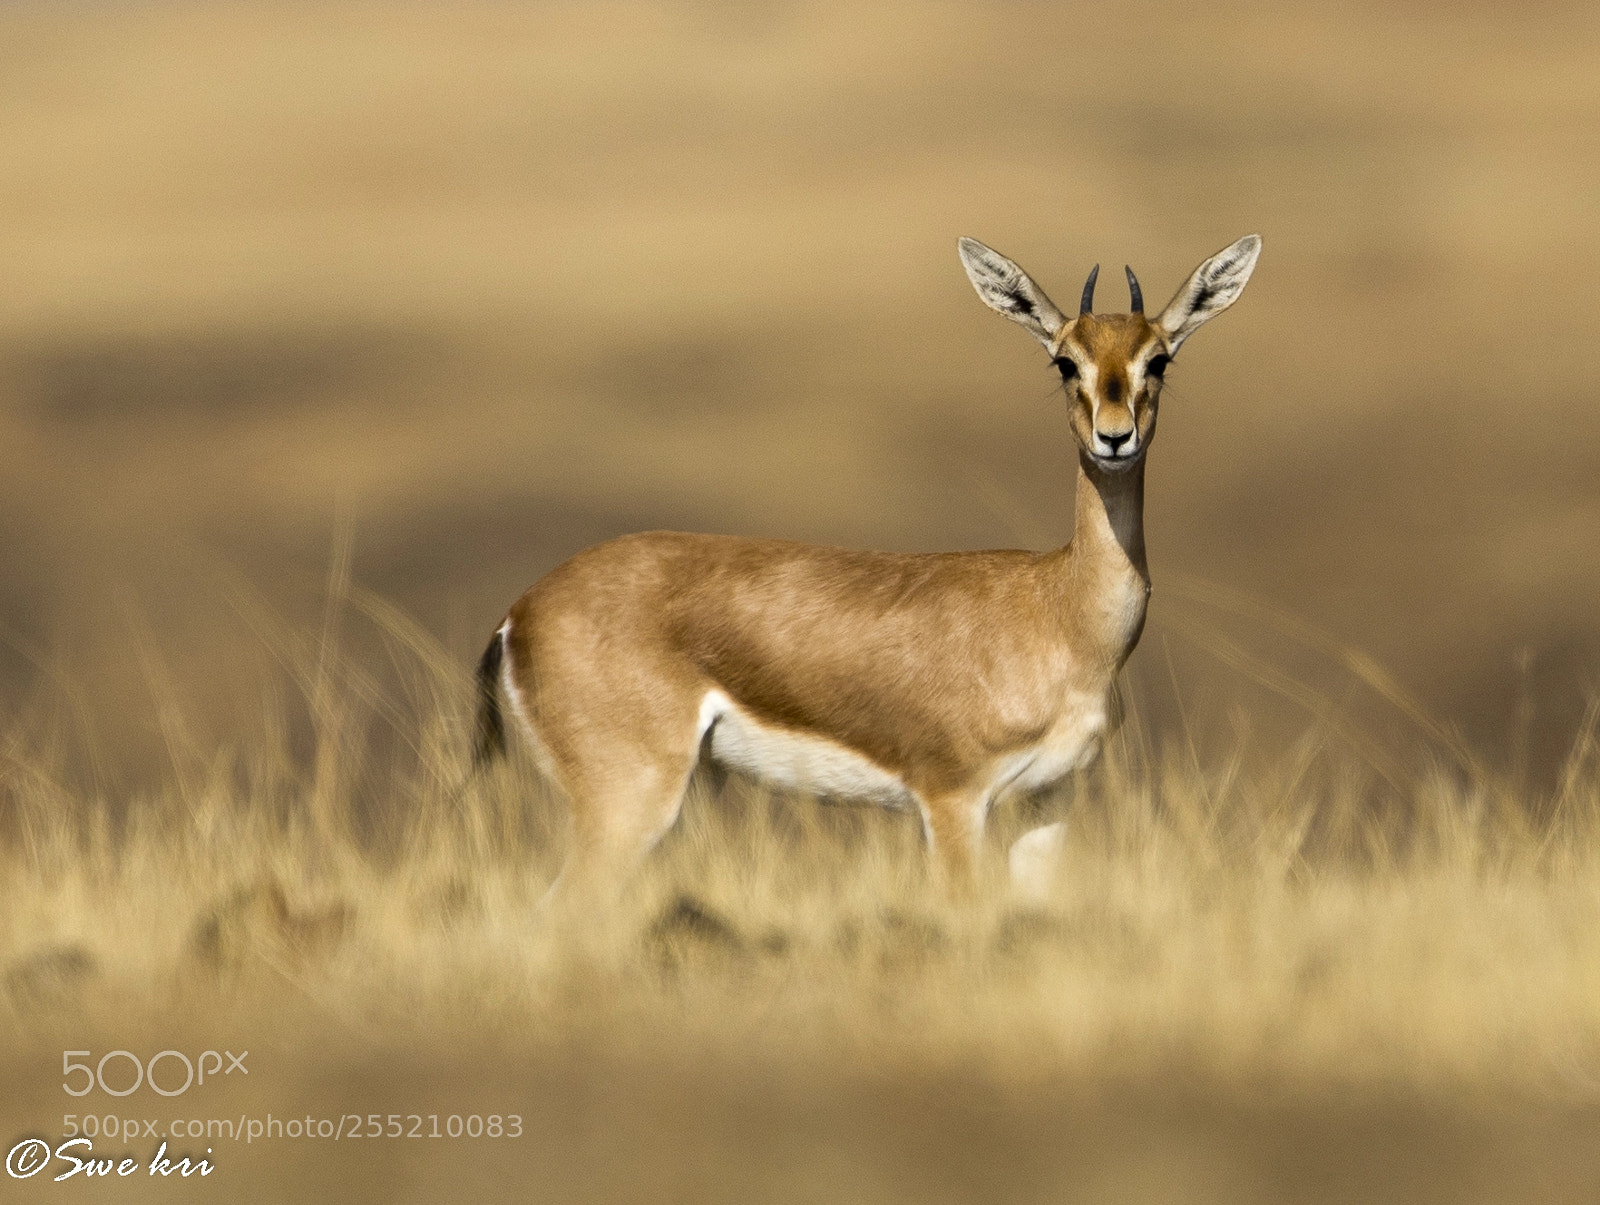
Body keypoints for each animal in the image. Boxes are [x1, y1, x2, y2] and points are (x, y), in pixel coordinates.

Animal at [472, 234, 1261, 899]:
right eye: (1064, 360)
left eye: (1159, 358)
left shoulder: (1047, 804)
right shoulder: (952, 800)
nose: (1114, 437)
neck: (1060, 612)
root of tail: (519, 612)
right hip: (630, 802)